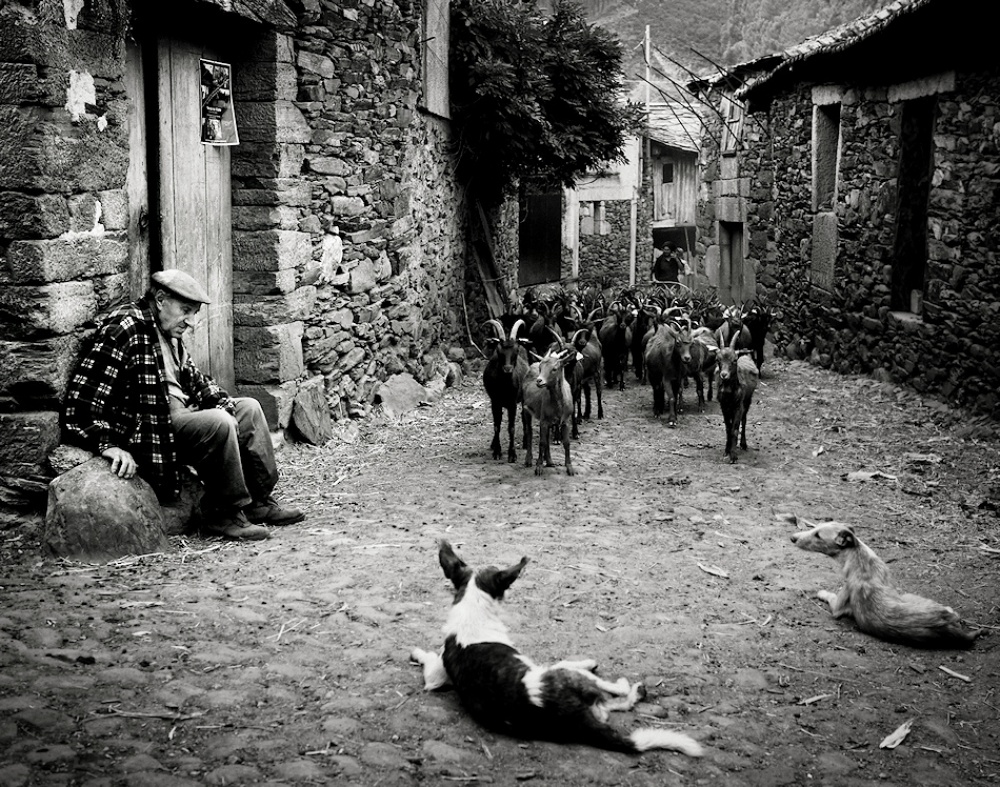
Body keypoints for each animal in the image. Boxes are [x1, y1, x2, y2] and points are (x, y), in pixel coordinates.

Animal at [410, 540, 704, 756]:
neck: (473, 609)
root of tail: (570, 715)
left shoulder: (436, 676)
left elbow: (430, 663)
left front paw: (417, 653)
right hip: (569, 675)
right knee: (614, 693)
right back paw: (627, 685)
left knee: (611, 707)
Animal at [482, 318, 529, 463]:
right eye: (499, 350)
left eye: (516, 350)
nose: (507, 369)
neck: (504, 385)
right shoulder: (495, 402)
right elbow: (496, 426)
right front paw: (497, 451)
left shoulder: (512, 403)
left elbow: (511, 428)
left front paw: (512, 454)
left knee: (524, 417)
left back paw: (526, 442)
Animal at [520, 347, 576, 476]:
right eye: (541, 368)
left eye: (554, 369)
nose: (539, 381)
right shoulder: (543, 419)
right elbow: (542, 442)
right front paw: (538, 467)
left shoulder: (566, 420)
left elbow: (566, 442)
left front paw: (569, 467)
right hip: (526, 408)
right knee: (529, 431)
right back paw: (528, 460)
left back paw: (549, 461)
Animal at [716, 332, 759, 463]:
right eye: (718, 359)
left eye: (734, 360)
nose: (724, 375)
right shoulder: (724, 406)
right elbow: (728, 428)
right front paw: (726, 451)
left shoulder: (738, 405)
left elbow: (734, 429)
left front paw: (733, 456)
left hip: (747, 400)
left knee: (743, 420)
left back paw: (743, 444)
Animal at [790, 518, 980, 648]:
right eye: (815, 527)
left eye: (818, 535)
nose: (792, 537)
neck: (860, 558)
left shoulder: (838, 606)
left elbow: (830, 595)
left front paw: (821, 593)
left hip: (912, 596)